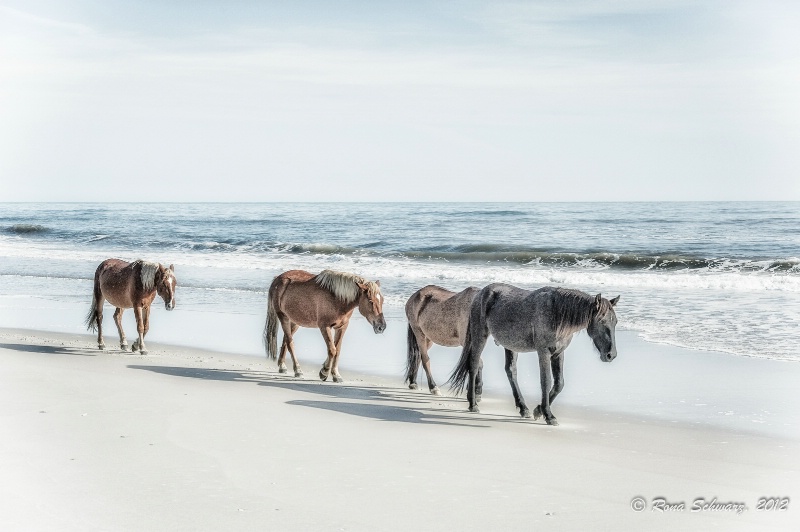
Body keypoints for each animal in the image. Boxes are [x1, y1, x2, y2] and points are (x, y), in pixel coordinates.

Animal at [450, 284, 620, 426]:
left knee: (511, 371)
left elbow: (559, 384)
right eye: (601, 320)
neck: (557, 313)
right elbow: (546, 382)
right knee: (473, 365)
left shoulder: (558, 353)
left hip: (510, 346)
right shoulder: (543, 352)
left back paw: (523, 408)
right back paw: (473, 404)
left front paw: (538, 410)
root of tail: (481, 293)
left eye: (615, 322)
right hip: (480, 336)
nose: (611, 355)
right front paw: (548, 415)